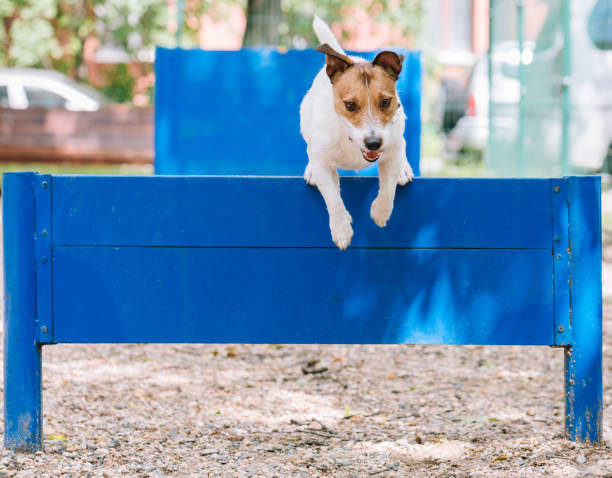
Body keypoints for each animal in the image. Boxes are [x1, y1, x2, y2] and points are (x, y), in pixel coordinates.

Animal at [300, 15, 414, 250]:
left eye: (386, 101)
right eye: (350, 105)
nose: (373, 143)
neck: (350, 140)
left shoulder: (390, 153)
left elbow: (388, 189)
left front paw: (380, 212)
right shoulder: (323, 163)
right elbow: (333, 198)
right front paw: (341, 229)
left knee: (403, 144)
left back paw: (403, 169)